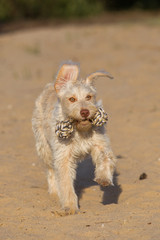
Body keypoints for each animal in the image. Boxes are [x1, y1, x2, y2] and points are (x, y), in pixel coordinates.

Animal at [31, 61, 115, 216]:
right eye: (72, 99)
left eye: (88, 97)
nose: (85, 111)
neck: (80, 130)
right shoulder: (63, 157)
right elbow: (65, 183)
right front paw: (70, 207)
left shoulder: (100, 143)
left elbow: (105, 158)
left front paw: (104, 178)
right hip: (44, 148)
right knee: (51, 171)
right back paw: (55, 193)